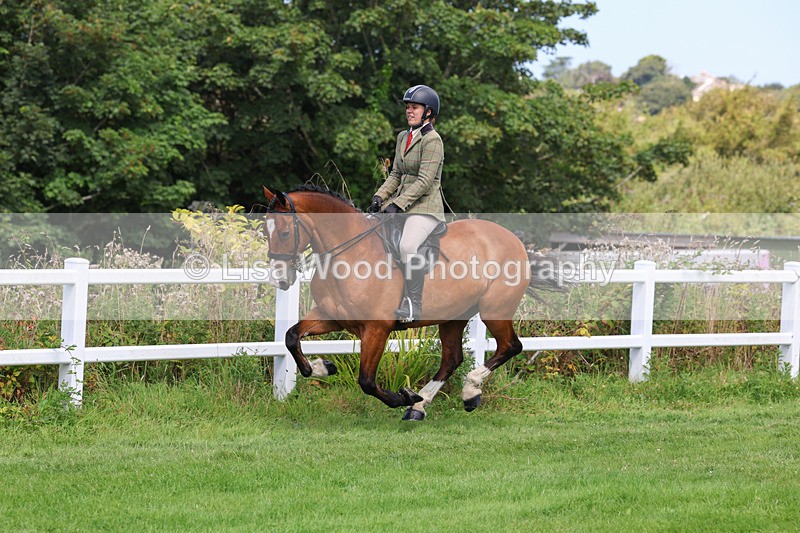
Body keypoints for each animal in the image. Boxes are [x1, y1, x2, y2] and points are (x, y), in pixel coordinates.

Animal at [262, 184, 538, 421]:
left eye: (285, 232)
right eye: (266, 232)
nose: (279, 280)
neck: (351, 255)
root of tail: (513, 239)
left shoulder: (376, 328)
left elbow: (366, 381)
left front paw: (402, 397)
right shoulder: (331, 316)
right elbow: (291, 337)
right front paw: (322, 367)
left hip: (494, 310)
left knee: (510, 346)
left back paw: (468, 391)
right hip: (453, 316)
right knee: (452, 359)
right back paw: (420, 406)